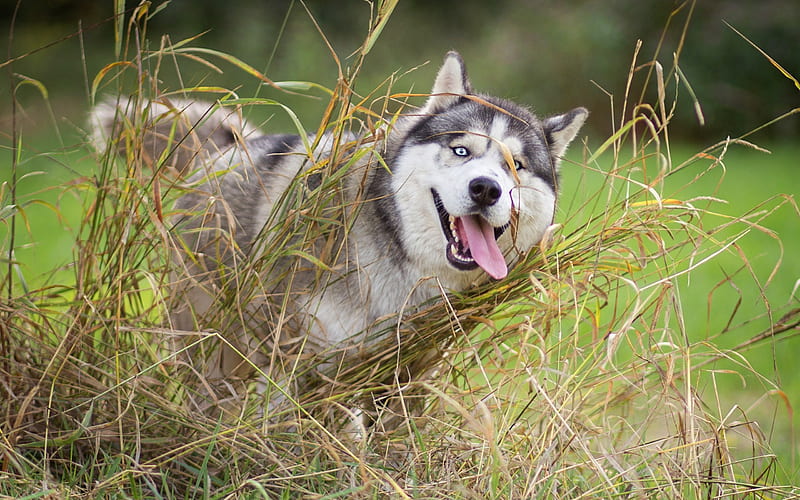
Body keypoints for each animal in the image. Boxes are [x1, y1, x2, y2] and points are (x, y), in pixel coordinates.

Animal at [90, 52, 584, 416]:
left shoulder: (411, 370)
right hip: (213, 342)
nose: (486, 188)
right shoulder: (307, 358)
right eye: (461, 150)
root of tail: (228, 148)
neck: (400, 267)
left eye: (515, 166)